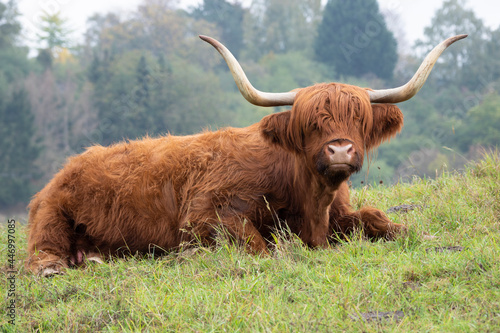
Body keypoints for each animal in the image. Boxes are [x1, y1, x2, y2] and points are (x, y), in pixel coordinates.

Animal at [26, 34, 464, 274]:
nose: (340, 149)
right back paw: (53, 268)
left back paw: (95, 259)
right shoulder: (205, 212)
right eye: (310, 123)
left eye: (359, 118)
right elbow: (258, 245)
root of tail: (70, 164)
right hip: (52, 214)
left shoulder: (340, 215)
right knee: (41, 248)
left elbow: (377, 218)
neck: (311, 201)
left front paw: (422, 234)